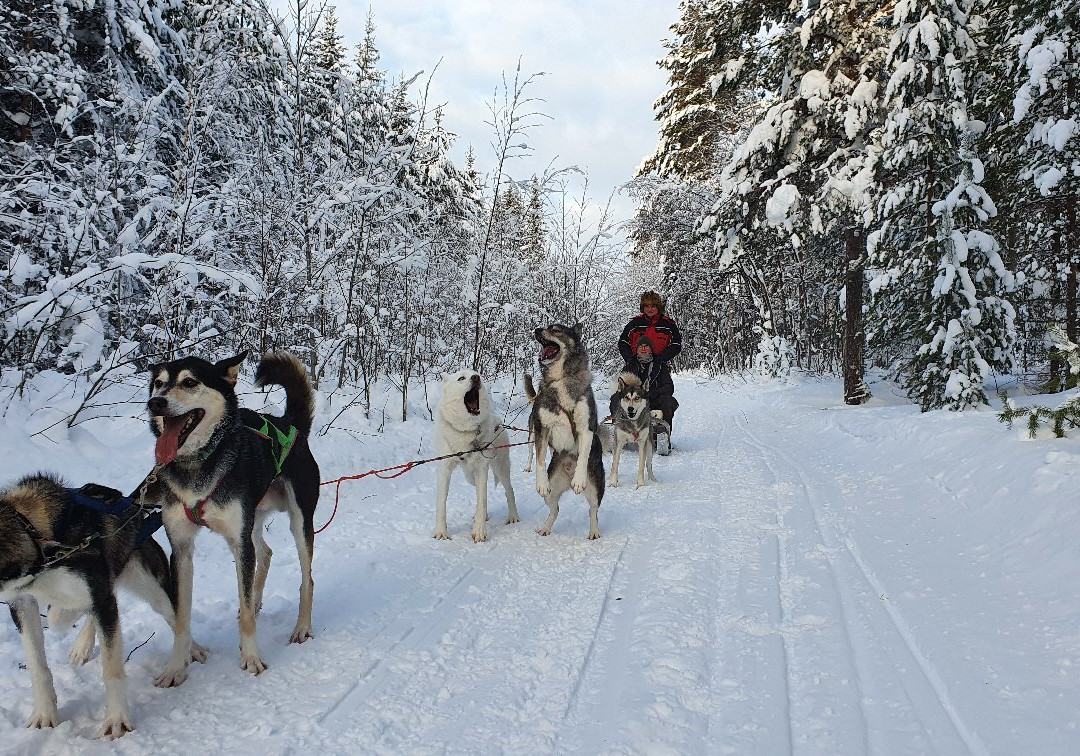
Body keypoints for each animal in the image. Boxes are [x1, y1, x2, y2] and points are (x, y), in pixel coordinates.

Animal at [145, 352, 317, 686]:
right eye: (158, 383)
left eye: (189, 382)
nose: (155, 402)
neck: (198, 466)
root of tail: (289, 425)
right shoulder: (181, 551)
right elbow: (181, 619)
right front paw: (175, 668)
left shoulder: (239, 540)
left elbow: (248, 615)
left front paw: (251, 658)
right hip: (252, 520)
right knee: (265, 552)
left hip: (299, 521)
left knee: (307, 578)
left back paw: (301, 627)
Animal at [434, 367, 518, 540]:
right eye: (461, 378)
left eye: (477, 374)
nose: (476, 377)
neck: (465, 431)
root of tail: (497, 420)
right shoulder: (445, 468)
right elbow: (441, 503)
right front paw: (441, 532)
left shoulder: (481, 468)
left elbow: (482, 499)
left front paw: (479, 531)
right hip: (470, 476)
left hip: (500, 467)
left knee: (508, 490)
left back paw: (513, 516)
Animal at [531, 321, 609, 540]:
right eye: (545, 326)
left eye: (556, 329)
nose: (537, 330)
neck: (560, 379)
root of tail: (567, 471)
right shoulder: (541, 428)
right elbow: (540, 459)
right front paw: (540, 483)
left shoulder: (586, 428)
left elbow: (582, 454)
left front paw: (579, 479)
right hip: (552, 491)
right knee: (555, 509)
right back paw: (546, 527)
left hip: (596, 488)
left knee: (593, 510)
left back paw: (594, 531)